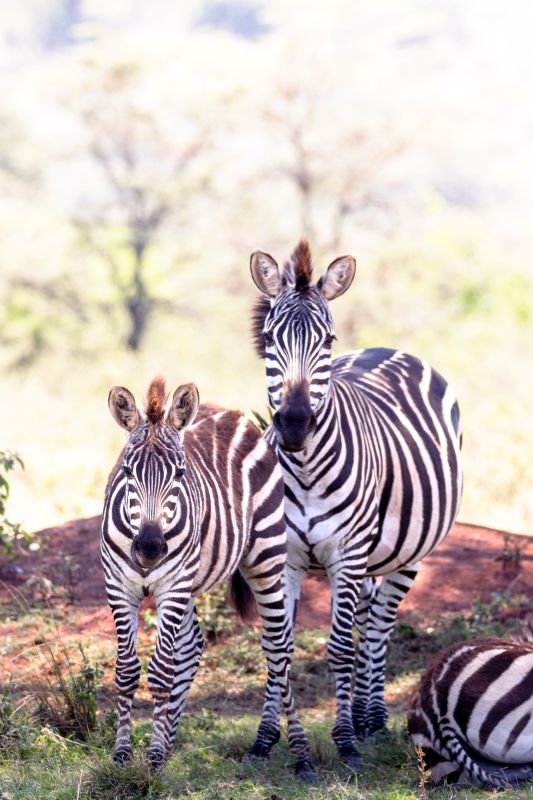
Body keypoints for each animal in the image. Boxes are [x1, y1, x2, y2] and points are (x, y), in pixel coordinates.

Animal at [101, 376, 316, 778]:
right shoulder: (119, 587)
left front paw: (152, 758)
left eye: (180, 474)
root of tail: (233, 415)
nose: (150, 548)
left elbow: (160, 672)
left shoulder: (172, 587)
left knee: (279, 647)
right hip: (190, 583)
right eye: (127, 472)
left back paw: (301, 754)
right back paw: (169, 741)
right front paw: (124, 755)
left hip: (264, 558)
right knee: (192, 647)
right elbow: (126, 671)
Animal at [249, 240, 462, 767]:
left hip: (410, 551)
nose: (295, 423)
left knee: (379, 623)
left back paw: (372, 720)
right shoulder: (284, 557)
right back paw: (364, 716)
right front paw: (266, 738)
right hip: (370, 556)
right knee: (367, 613)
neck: (305, 467)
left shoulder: (346, 554)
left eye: (328, 340)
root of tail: (389, 348)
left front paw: (344, 740)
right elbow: (278, 646)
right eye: (269, 339)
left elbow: (341, 648)